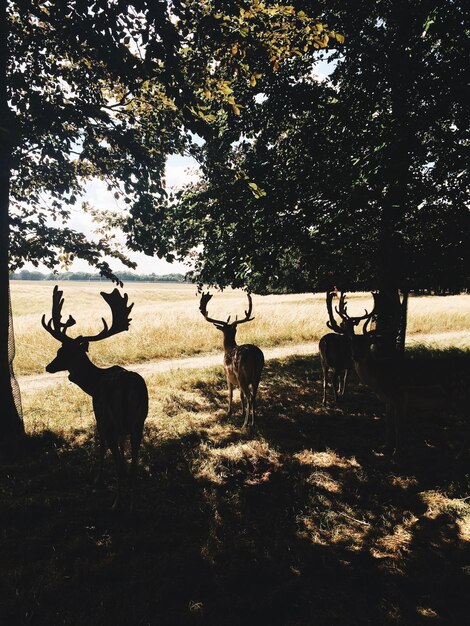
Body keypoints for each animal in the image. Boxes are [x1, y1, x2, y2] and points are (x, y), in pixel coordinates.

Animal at [42, 284, 149, 508]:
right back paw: (132, 499)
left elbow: (100, 448)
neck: (93, 384)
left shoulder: (99, 416)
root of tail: (126, 385)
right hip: (139, 420)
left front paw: (97, 478)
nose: (49, 366)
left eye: (62, 352)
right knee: (134, 461)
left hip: (111, 418)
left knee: (116, 458)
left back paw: (117, 501)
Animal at [198, 292, 264, 426]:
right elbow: (241, 396)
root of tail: (254, 356)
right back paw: (254, 421)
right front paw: (242, 412)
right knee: (254, 396)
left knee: (250, 397)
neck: (228, 348)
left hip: (242, 375)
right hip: (257, 375)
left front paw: (229, 412)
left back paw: (245, 424)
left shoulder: (228, 375)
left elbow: (231, 394)